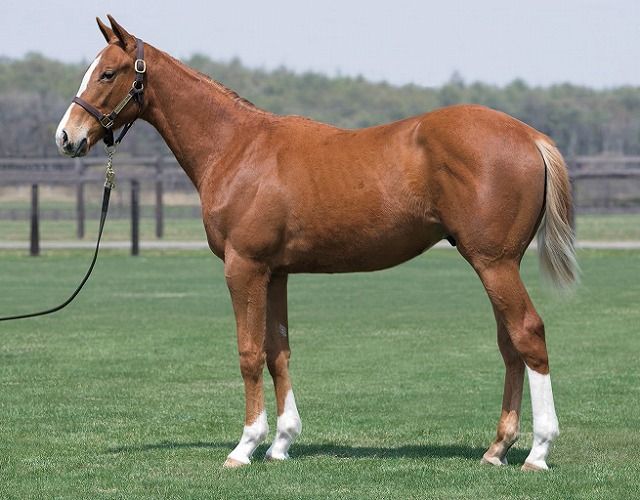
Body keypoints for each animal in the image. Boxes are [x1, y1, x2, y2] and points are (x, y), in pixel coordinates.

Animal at [55, 16, 578, 470]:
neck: (237, 147)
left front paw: (245, 446)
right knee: (509, 344)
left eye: (107, 73)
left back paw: (538, 451)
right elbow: (278, 351)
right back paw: (497, 448)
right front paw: (281, 443)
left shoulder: (243, 267)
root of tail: (529, 136)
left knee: (528, 334)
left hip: (495, 263)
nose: (66, 137)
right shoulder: (275, 272)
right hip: (493, 264)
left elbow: (249, 353)